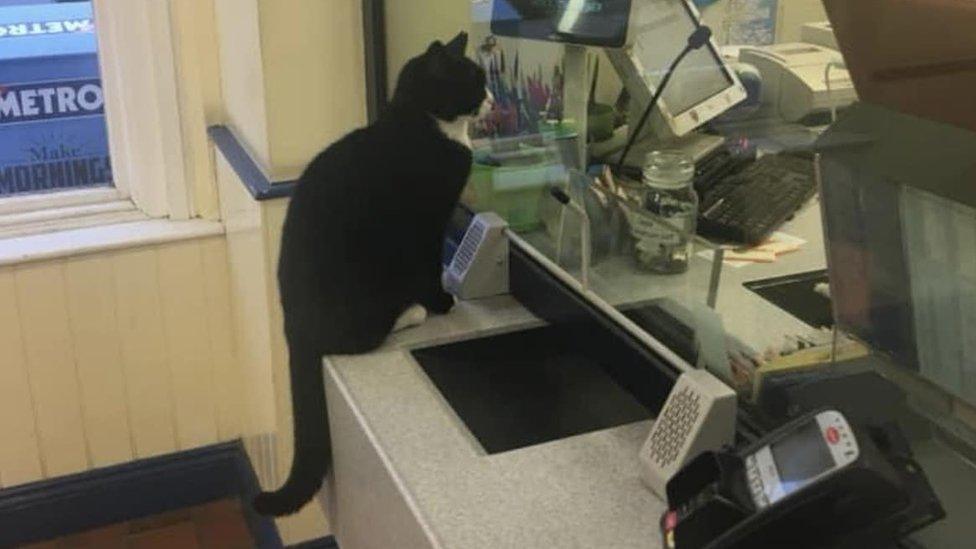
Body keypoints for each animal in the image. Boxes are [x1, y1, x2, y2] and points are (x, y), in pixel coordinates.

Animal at [255, 32, 492, 516]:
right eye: (474, 81)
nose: (493, 99)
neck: (421, 124)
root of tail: (293, 324)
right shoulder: (428, 224)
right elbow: (429, 267)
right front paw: (442, 301)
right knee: (355, 339)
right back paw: (411, 313)